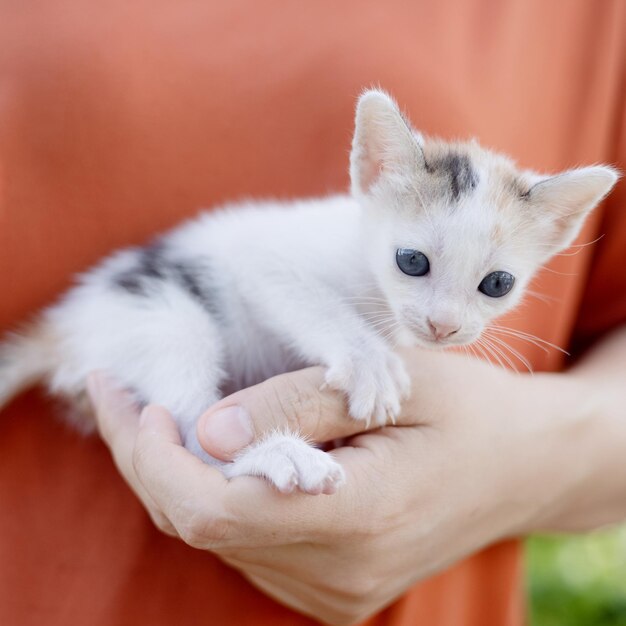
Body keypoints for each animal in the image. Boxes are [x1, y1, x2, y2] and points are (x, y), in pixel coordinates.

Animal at [0, 91, 616, 492]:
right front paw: (367, 359)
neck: (366, 276)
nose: (443, 326)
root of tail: (70, 325)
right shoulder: (263, 256)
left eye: (497, 284)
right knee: (194, 431)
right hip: (161, 316)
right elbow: (305, 297)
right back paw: (274, 454)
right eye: (411, 262)